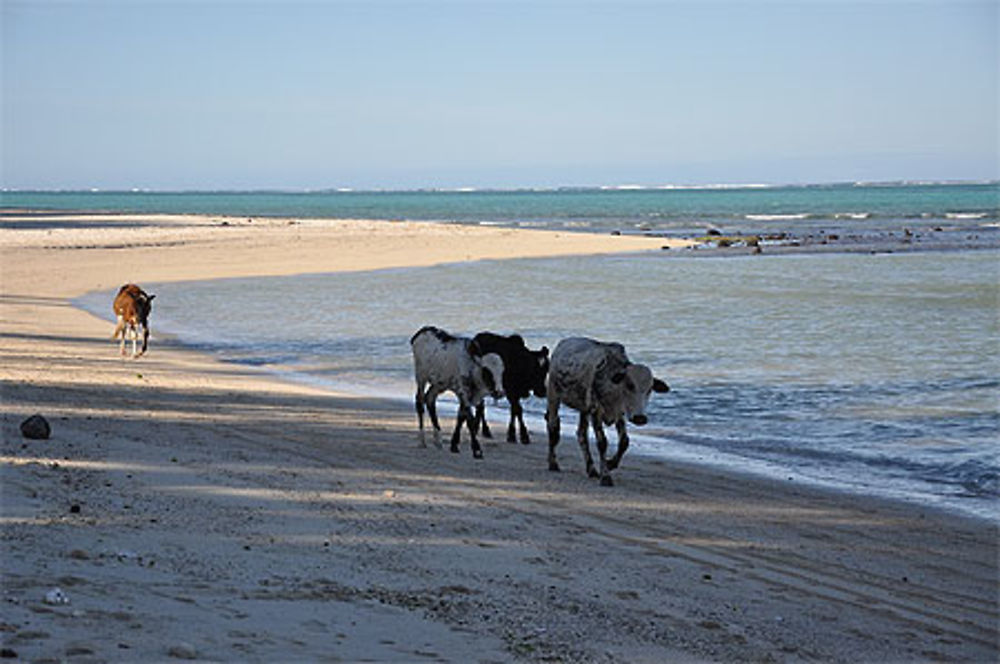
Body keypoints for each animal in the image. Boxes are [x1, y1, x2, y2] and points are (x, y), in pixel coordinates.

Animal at [410, 324, 504, 460]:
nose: (499, 392)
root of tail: (422, 331)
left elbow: (461, 416)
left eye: (502, 371)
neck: (471, 366)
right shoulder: (463, 392)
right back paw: (422, 440)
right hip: (421, 376)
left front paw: (454, 445)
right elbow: (470, 419)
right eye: (487, 371)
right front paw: (477, 450)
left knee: (430, 399)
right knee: (420, 401)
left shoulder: (468, 396)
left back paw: (438, 440)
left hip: (439, 384)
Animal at [548, 340, 672, 486]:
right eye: (629, 385)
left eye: (650, 389)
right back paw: (553, 463)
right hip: (553, 397)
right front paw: (606, 476)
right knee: (553, 428)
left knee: (581, 435)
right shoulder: (596, 412)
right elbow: (602, 443)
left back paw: (591, 470)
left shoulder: (619, 414)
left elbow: (624, 441)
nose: (640, 418)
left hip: (584, 409)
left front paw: (610, 463)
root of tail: (562, 344)